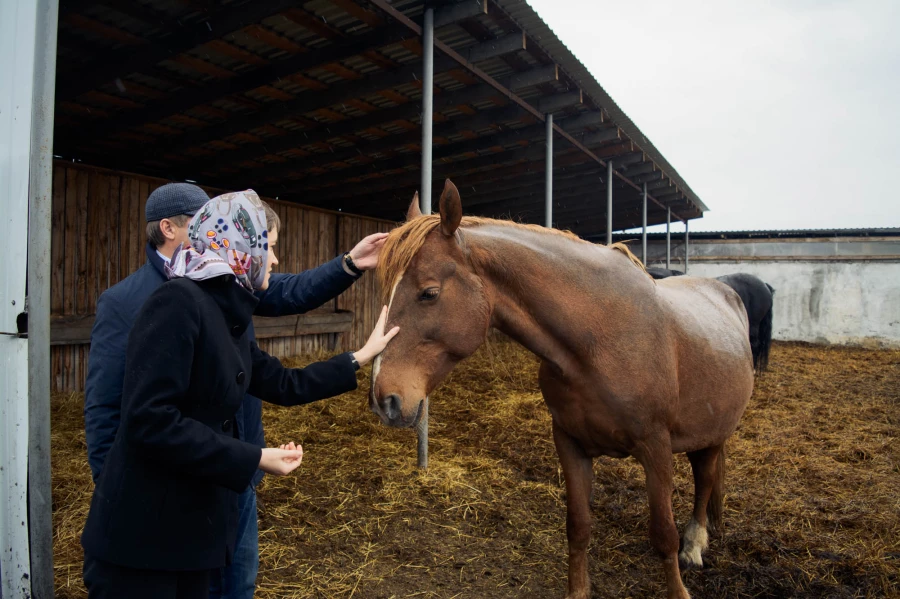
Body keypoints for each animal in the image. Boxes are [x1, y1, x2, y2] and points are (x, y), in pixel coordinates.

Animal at [370, 182, 756, 599]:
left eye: (428, 293)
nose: (384, 400)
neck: (597, 339)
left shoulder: (656, 446)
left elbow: (663, 535)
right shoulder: (569, 443)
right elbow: (578, 527)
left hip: (713, 435)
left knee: (705, 479)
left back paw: (695, 544)